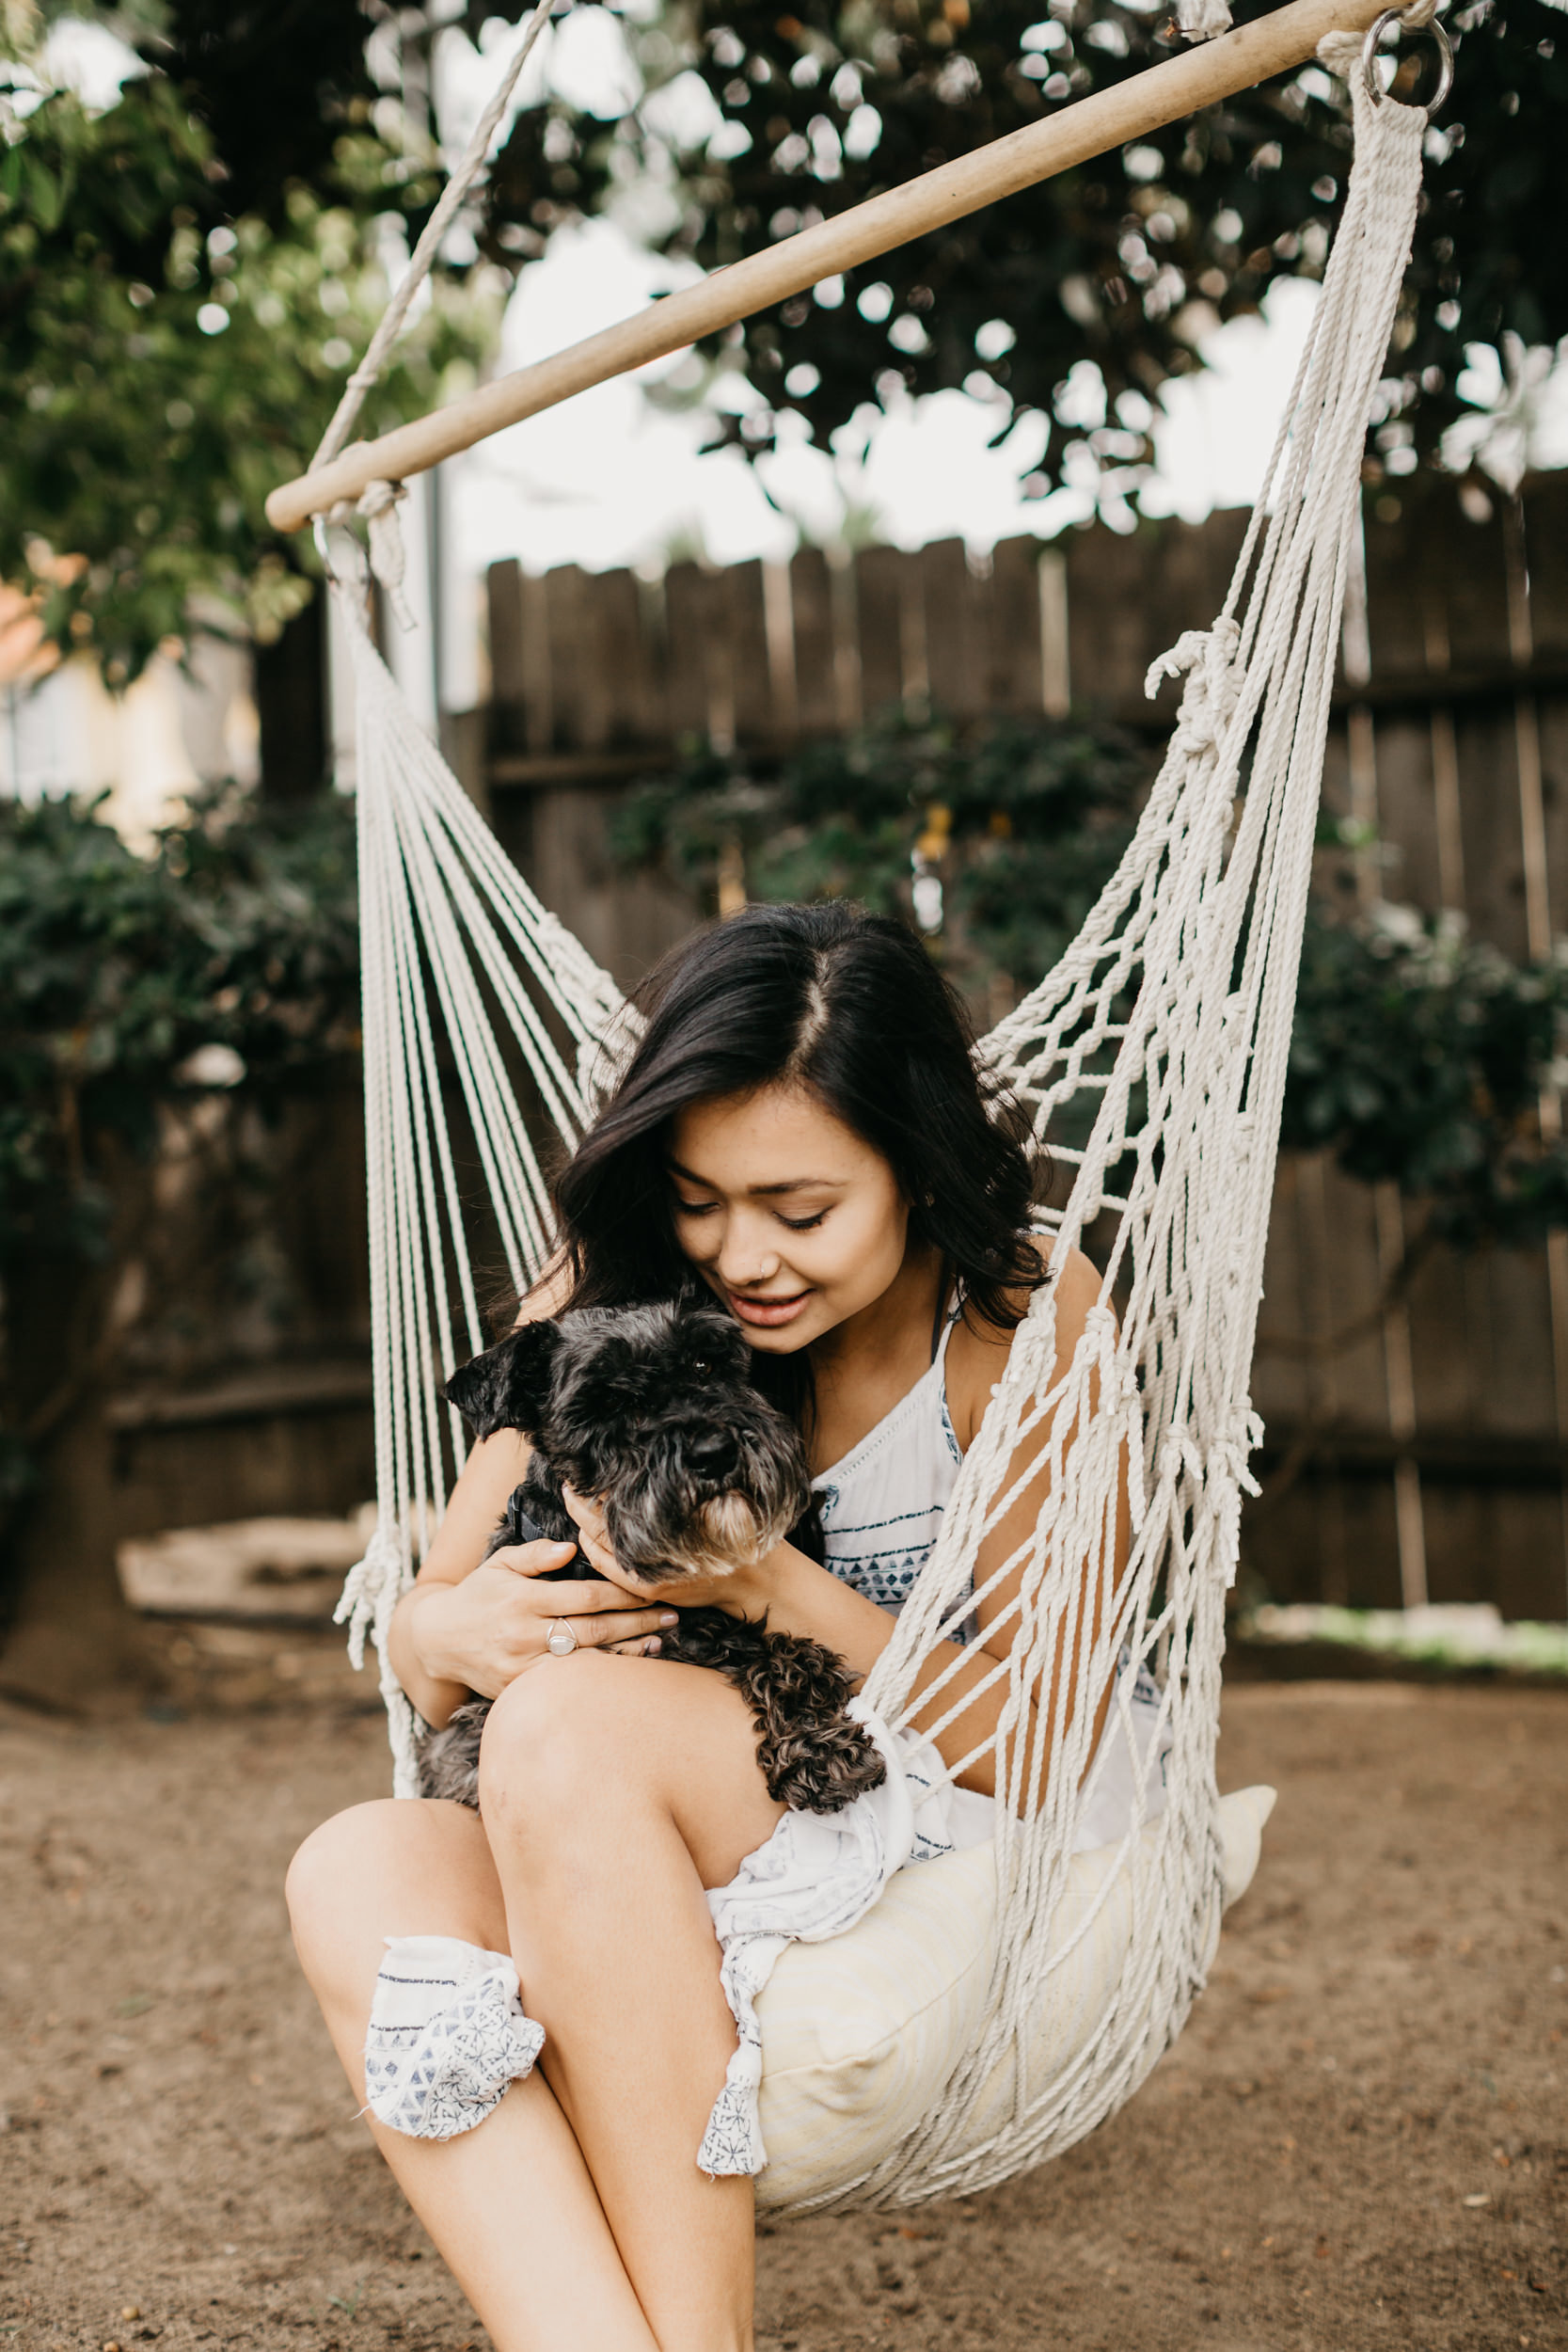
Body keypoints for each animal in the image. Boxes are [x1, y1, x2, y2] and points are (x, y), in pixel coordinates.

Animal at [411, 1308, 888, 1816]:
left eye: (704, 1366)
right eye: (607, 1401)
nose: (714, 1452)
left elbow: (795, 1655)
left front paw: (822, 1749)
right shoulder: (467, 1735)